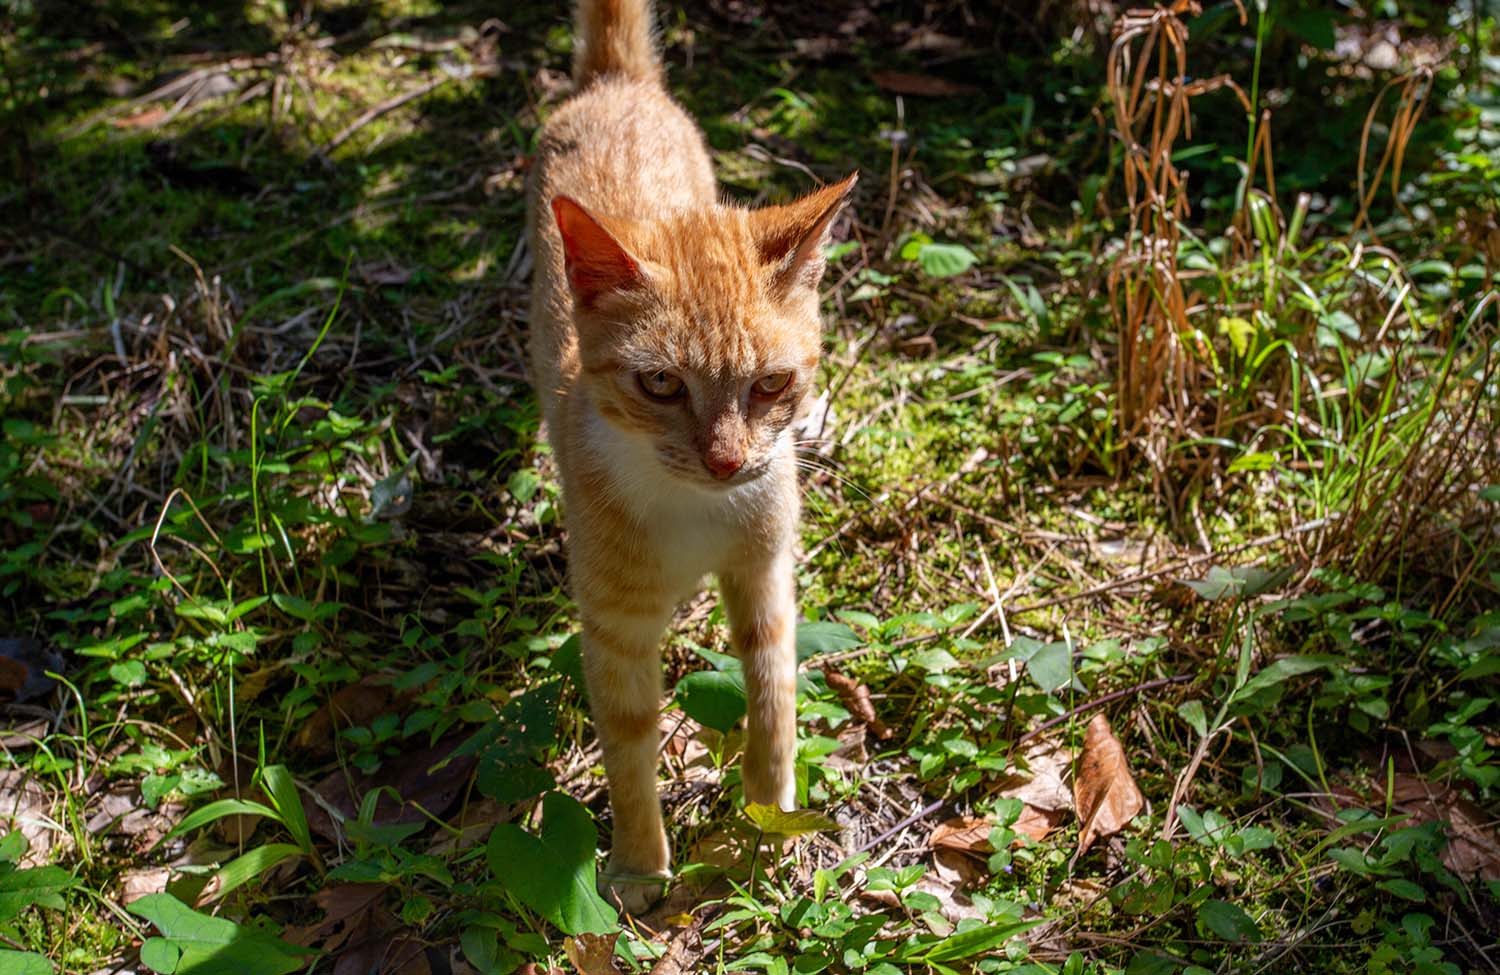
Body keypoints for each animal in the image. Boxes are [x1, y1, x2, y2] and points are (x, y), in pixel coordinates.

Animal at [525, 0, 858, 912]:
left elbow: (774, 688)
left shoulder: (766, 567)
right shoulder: (614, 624)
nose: (727, 462)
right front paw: (641, 863)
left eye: (772, 383)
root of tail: (618, 85)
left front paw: (770, 811)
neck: (694, 512)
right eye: (662, 383)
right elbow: (629, 740)